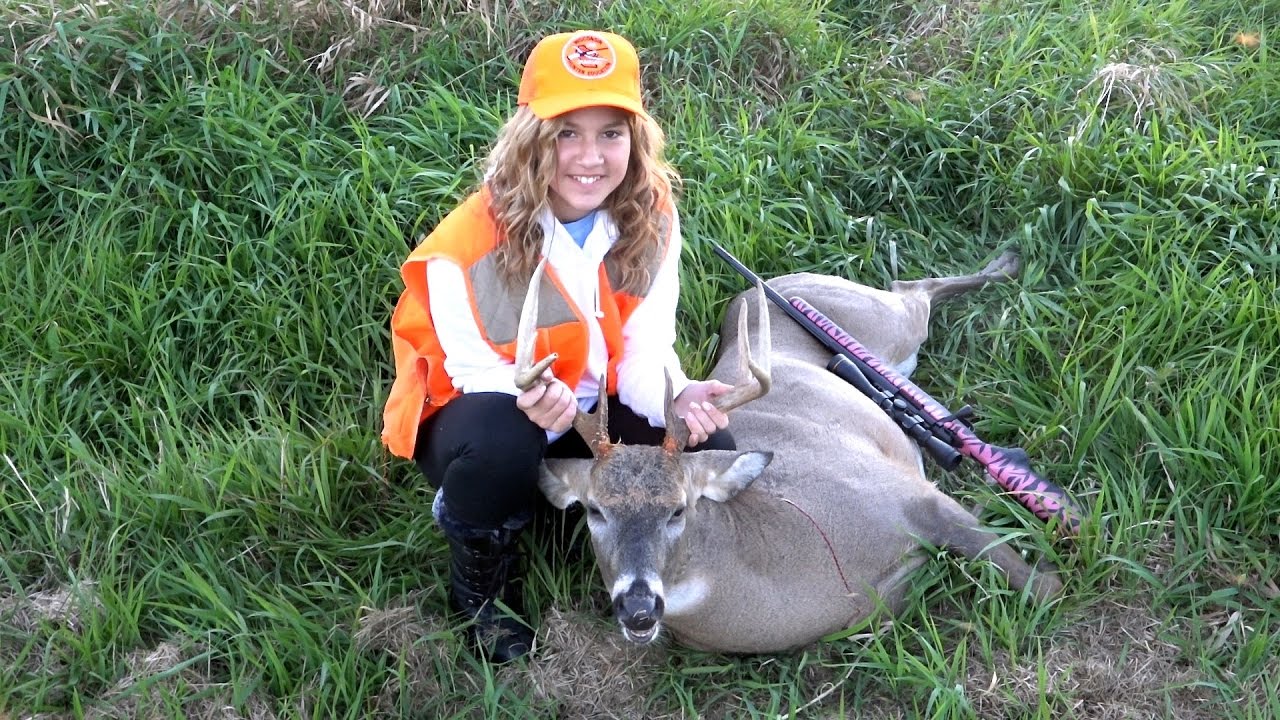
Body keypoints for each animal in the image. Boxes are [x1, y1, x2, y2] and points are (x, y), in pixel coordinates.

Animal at [515, 250, 1063, 654]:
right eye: (594, 510)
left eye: (678, 509)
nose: (638, 608)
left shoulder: (910, 493)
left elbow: (1045, 586)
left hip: (882, 320)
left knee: (912, 290)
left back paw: (1010, 261)